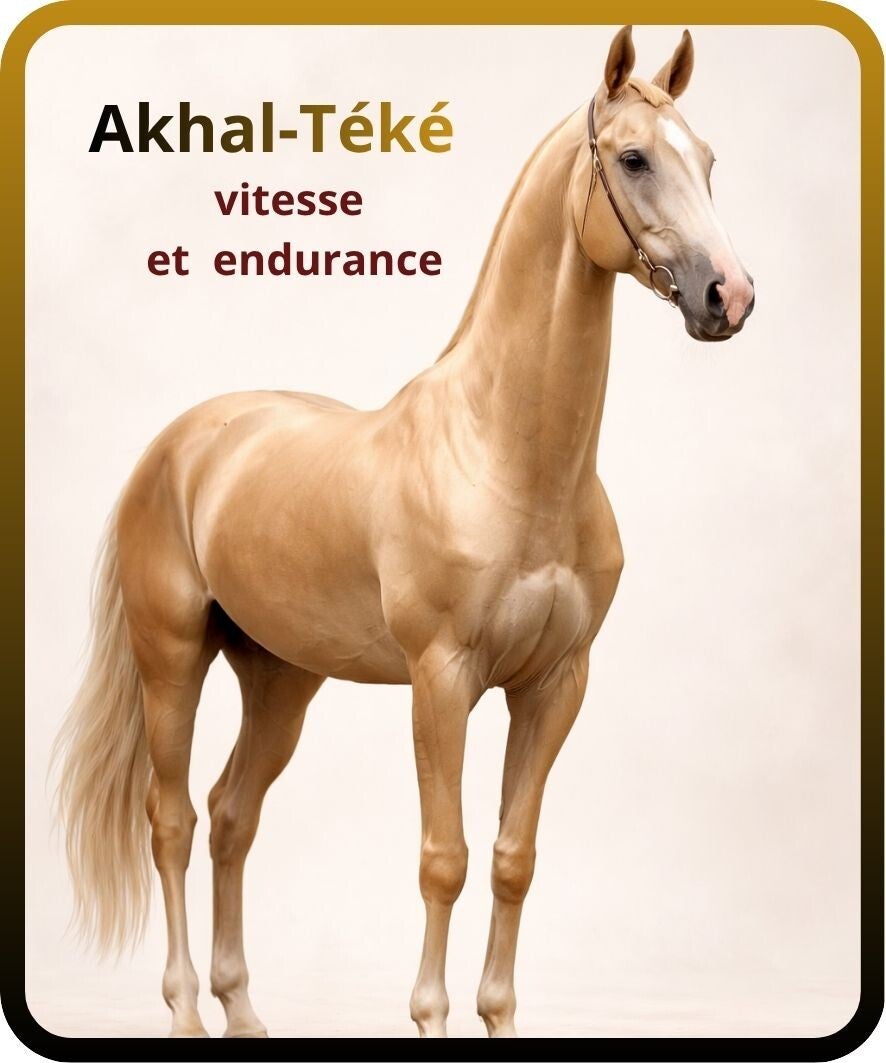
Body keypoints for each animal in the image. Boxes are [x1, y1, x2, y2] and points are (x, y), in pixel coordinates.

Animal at [54, 25, 755, 1039]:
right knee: (173, 819)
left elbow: (512, 858)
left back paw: (244, 1011)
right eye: (634, 158)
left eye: (707, 161)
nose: (727, 296)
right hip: (172, 659)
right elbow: (444, 857)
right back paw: (186, 1009)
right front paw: (430, 1016)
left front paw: (498, 1016)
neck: (510, 459)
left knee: (231, 814)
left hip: (282, 677)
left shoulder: (555, 685)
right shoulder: (442, 679)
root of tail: (179, 445)